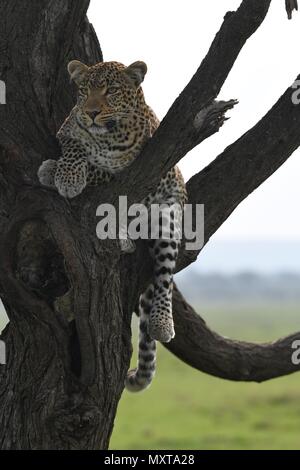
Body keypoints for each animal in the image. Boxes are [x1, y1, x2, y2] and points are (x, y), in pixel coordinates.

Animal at [37, 60, 188, 392]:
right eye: (85, 90)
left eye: (111, 91)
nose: (92, 112)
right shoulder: (67, 129)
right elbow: (75, 148)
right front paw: (65, 171)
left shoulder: (134, 170)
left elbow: (99, 170)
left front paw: (57, 173)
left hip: (167, 216)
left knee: (163, 277)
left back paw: (161, 321)